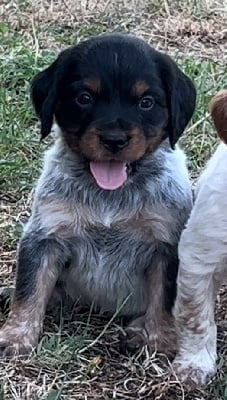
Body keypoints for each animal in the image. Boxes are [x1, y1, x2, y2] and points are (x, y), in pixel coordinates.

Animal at [0, 32, 196, 354]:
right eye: (84, 98)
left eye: (146, 102)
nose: (114, 140)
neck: (109, 196)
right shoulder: (45, 236)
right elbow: (29, 288)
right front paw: (15, 336)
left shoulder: (166, 243)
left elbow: (166, 297)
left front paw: (160, 340)